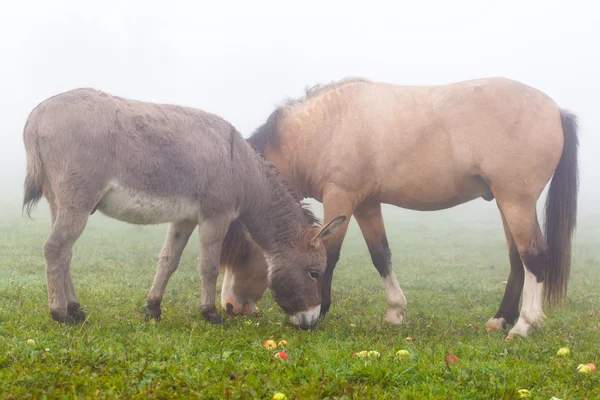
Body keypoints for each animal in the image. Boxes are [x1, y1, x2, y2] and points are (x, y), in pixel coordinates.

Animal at [23, 89, 344, 330]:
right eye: (315, 273)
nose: (311, 322)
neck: (242, 169)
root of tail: (36, 115)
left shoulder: (185, 218)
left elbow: (168, 261)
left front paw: (153, 309)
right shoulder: (216, 216)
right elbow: (209, 266)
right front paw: (210, 314)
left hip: (59, 202)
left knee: (65, 254)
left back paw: (76, 310)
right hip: (77, 200)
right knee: (54, 249)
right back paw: (60, 314)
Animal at [220, 77, 576, 338]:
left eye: (242, 254)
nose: (229, 307)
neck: (326, 126)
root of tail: (556, 109)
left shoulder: (341, 196)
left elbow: (330, 256)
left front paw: (320, 310)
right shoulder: (366, 204)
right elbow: (381, 255)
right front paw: (395, 312)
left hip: (517, 201)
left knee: (534, 255)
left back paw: (524, 325)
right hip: (506, 203)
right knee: (518, 259)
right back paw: (501, 319)